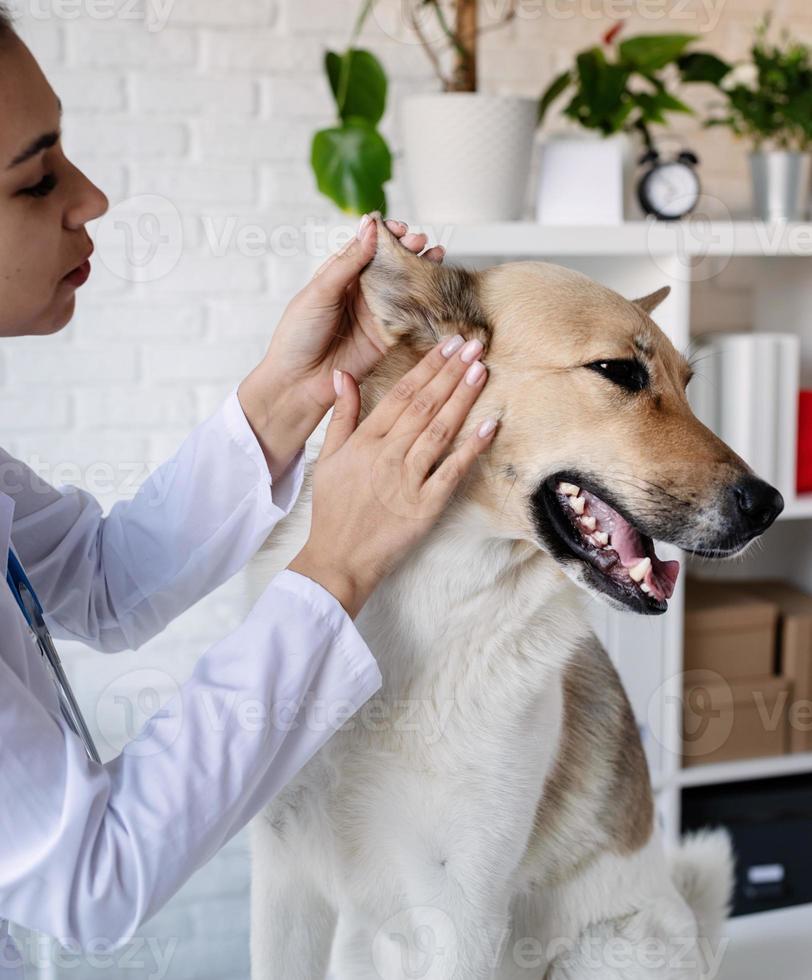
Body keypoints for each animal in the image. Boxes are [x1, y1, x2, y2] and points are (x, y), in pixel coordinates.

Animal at [249, 211, 788, 976]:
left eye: (687, 383)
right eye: (620, 372)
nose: (768, 506)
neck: (432, 594)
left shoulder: (465, 907)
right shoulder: (284, 879)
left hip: (604, 949)